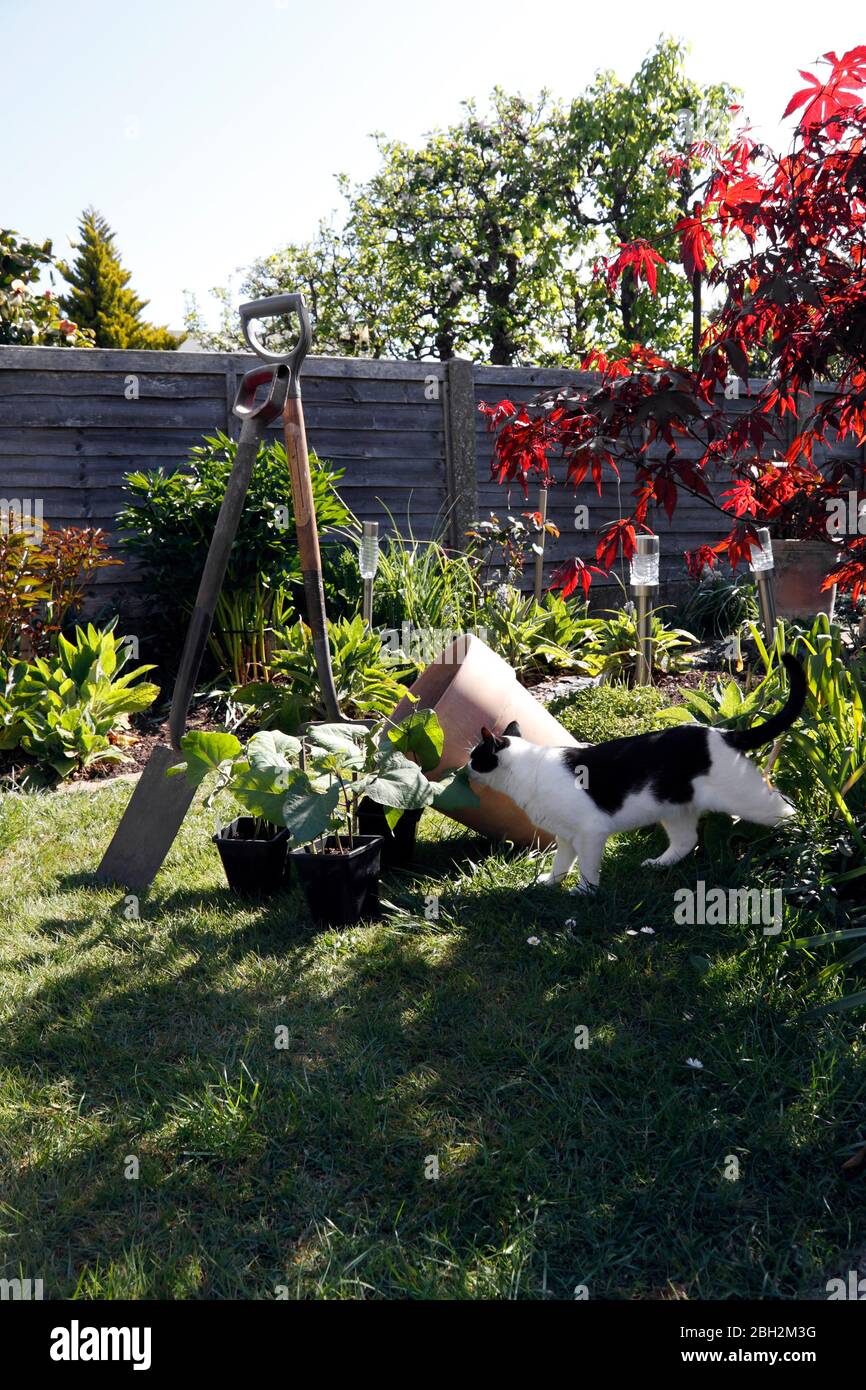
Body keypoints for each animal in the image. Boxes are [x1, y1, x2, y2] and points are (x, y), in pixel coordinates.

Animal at [467, 653, 806, 889]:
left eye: (475, 756)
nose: (465, 766)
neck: (528, 771)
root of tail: (723, 733)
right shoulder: (566, 837)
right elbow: (560, 864)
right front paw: (551, 884)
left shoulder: (590, 832)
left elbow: (587, 868)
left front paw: (584, 892)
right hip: (675, 810)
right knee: (686, 842)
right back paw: (657, 865)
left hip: (752, 802)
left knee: (790, 811)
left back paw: (807, 838)